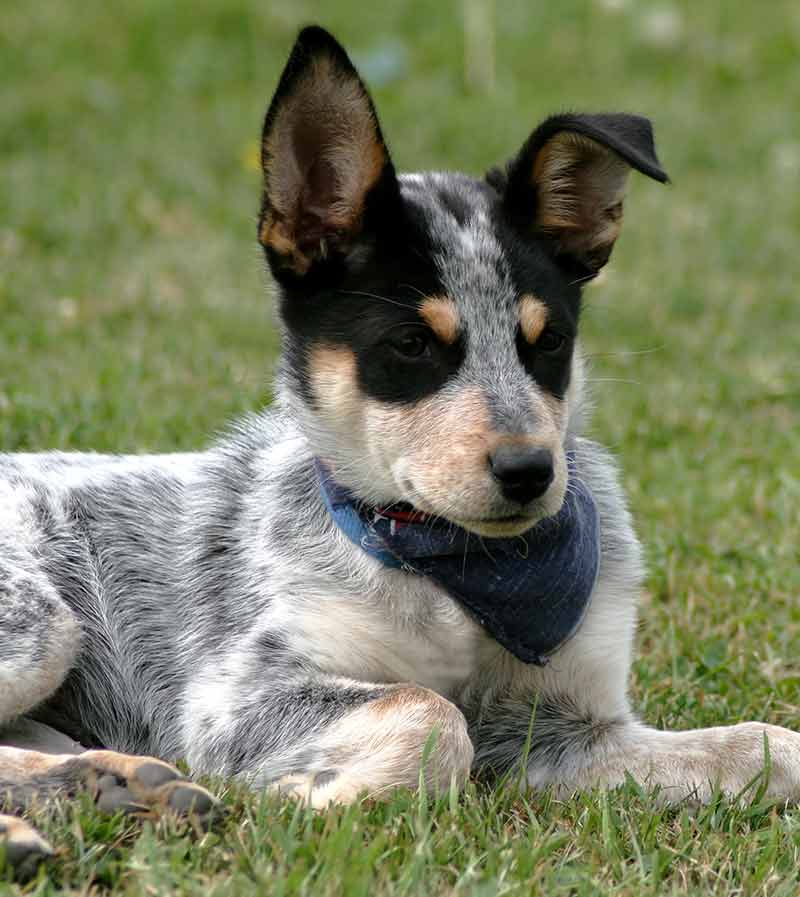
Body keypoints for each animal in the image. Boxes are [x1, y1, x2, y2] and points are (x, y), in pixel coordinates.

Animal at [1, 24, 800, 872]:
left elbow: (765, 742)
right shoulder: (232, 696)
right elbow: (431, 713)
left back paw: (118, 786)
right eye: (412, 344)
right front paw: (312, 796)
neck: (456, 571)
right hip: (42, 621)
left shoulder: (561, 727)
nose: (529, 470)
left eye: (547, 342)